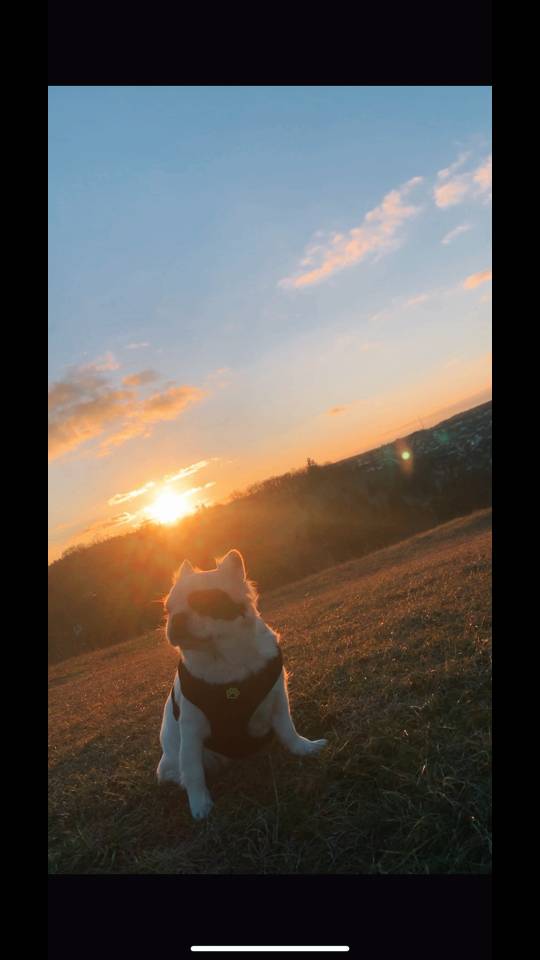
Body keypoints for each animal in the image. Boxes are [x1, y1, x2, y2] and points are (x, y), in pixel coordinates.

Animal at [154, 548, 326, 816]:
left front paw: (304, 748)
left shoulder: (278, 700)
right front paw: (200, 805)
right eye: (168, 609)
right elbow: (193, 770)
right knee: (178, 770)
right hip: (174, 762)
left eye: (202, 603)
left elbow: (288, 730)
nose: (177, 618)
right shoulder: (191, 730)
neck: (224, 656)